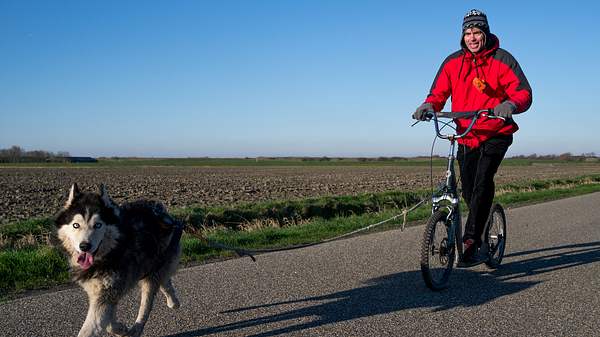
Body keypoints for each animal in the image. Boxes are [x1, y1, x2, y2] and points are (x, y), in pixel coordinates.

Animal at [56, 184, 183, 336]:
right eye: (76, 225)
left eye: (98, 225)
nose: (85, 246)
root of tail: (162, 211)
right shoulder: (104, 293)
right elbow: (109, 322)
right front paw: (120, 329)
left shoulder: (107, 294)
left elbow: (92, 327)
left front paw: (121, 329)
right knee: (163, 280)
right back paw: (173, 301)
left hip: (152, 272)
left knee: (147, 304)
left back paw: (136, 329)